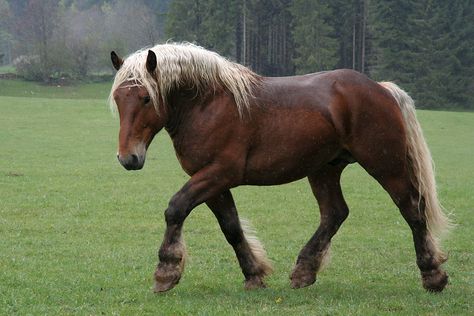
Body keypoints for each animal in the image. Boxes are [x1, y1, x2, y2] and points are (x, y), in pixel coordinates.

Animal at [108, 42, 452, 294]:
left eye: (145, 98)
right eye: (118, 98)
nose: (128, 158)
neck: (208, 103)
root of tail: (380, 89)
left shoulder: (218, 174)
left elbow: (176, 208)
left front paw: (166, 271)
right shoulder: (211, 180)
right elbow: (231, 227)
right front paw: (254, 274)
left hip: (385, 164)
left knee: (412, 209)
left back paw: (432, 275)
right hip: (324, 169)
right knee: (335, 213)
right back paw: (304, 270)